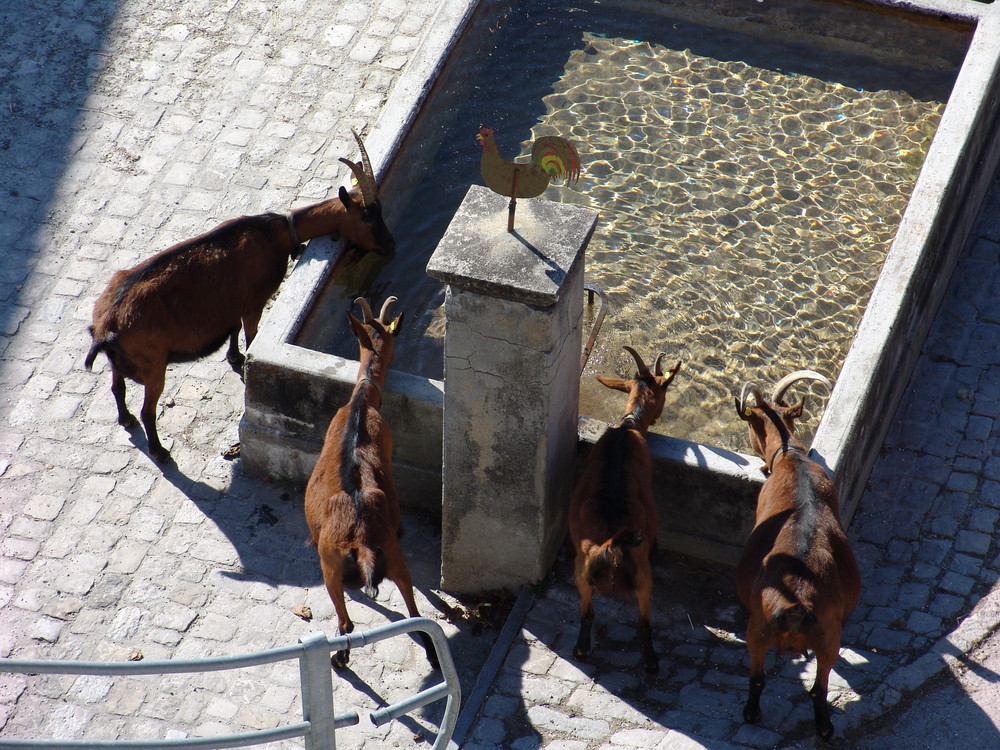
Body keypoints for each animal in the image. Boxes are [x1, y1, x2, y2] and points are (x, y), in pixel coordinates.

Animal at [84, 129, 394, 464]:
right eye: (366, 216)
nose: (391, 245)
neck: (277, 232)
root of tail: (107, 326)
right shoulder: (255, 302)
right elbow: (250, 333)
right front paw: (244, 362)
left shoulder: (234, 304)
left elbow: (232, 330)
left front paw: (234, 357)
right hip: (154, 366)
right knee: (147, 410)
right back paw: (160, 451)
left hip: (120, 362)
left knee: (117, 388)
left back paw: (125, 419)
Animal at [304, 296, 438, 672]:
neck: (361, 401)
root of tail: (361, 541)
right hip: (392, 555)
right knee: (415, 613)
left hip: (330, 566)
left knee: (346, 622)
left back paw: (339, 658)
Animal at [568, 348, 684, 676]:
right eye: (664, 391)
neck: (628, 426)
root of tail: (610, 545)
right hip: (643, 578)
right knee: (644, 621)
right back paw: (650, 661)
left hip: (580, 572)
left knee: (587, 612)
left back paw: (582, 647)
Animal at [732, 370, 864, 740]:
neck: (791, 456)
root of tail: (796, 602)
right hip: (826, 639)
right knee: (818, 688)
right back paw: (824, 728)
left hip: (759, 631)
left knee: (760, 677)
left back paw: (753, 714)